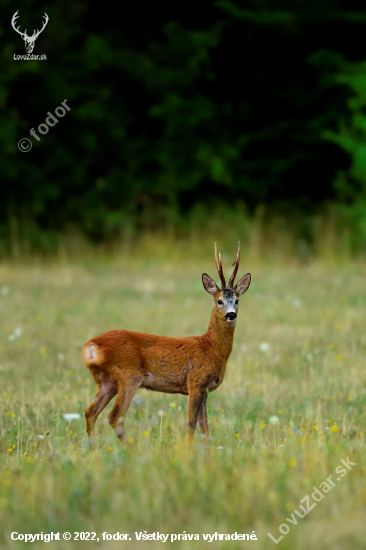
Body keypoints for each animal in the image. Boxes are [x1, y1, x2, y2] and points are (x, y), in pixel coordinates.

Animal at [83, 244, 250, 450]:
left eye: (237, 300)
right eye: (219, 301)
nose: (231, 314)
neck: (212, 347)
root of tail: (92, 346)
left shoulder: (204, 389)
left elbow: (205, 427)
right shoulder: (195, 381)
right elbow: (191, 423)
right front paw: (187, 451)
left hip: (107, 381)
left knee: (91, 412)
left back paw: (93, 450)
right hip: (128, 375)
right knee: (115, 416)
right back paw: (134, 449)